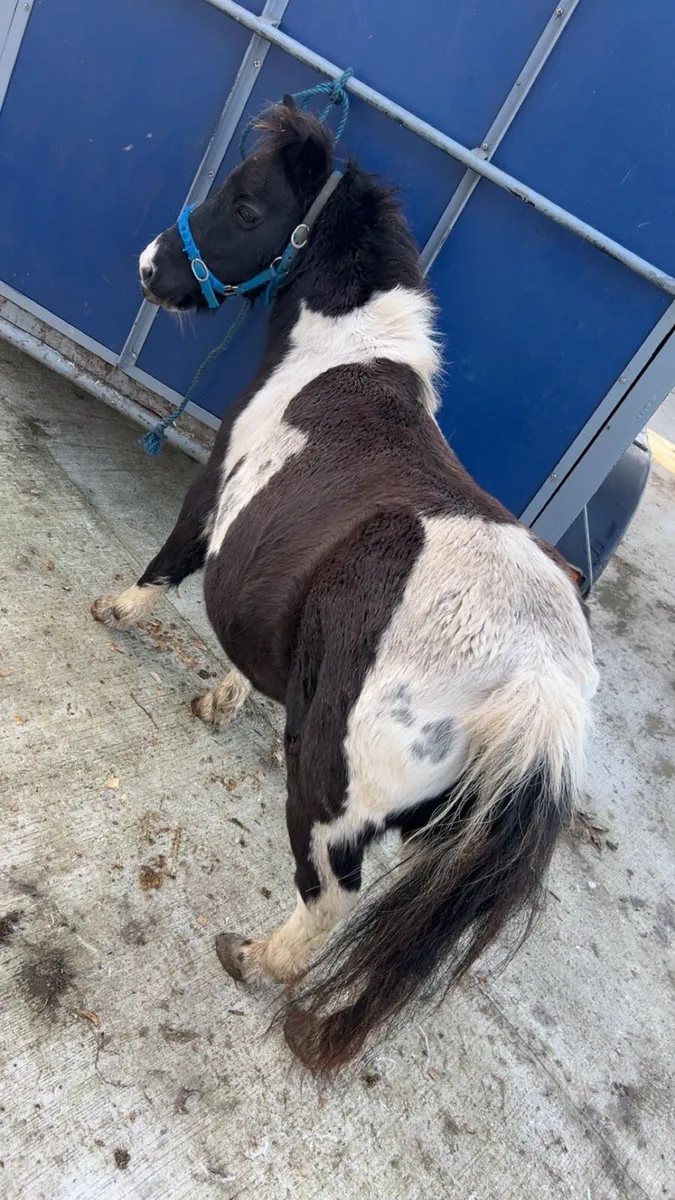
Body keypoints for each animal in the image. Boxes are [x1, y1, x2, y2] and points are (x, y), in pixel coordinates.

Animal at [92, 98, 598, 1073]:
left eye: (248, 204)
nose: (147, 269)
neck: (345, 356)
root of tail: (536, 683)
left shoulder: (215, 489)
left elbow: (170, 560)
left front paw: (115, 611)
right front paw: (224, 697)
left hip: (331, 802)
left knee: (331, 899)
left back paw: (252, 957)